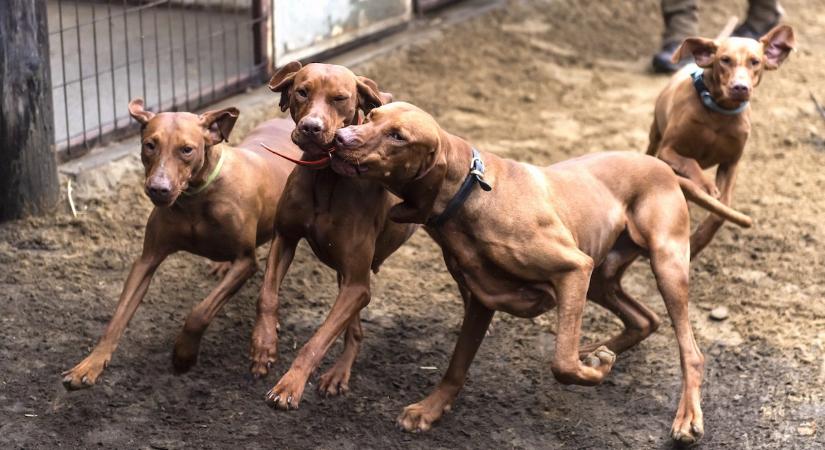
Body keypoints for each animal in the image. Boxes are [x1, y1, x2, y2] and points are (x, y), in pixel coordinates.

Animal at [62, 100, 300, 388]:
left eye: (187, 150)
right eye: (150, 145)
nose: (158, 189)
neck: (195, 198)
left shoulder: (246, 262)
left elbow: (199, 313)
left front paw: (183, 355)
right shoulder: (147, 260)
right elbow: (117, 319)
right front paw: (90, 364)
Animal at [249, 62, 416, 404]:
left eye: (339, 98)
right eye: (302, 91)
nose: (311, 127)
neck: (325, 174)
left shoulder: (356, 284)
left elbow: (317, 340)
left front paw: (291, 384)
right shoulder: (284, 238)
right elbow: (266, 296)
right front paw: (264, 345)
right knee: (355, 330)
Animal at [330, 101, 752, 442]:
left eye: (398, 136)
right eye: (371, 115)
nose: (339, 137)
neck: (470, 192)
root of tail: (665, 167)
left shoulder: (574, 268)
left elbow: (562, 363)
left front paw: (593, 371)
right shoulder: (482, 299)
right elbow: (456, 365)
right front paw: (430, 409)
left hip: (664, 264)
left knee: (689, 350)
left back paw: (685, 417)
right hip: (601, 277)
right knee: (644, 319)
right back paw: (597, 349)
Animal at [648, 24, 796, 256]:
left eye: (755, 62)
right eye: (725, 60)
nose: (740, 87)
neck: (720, 113)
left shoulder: (731, 163)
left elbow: (721, 209)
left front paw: (698, 242)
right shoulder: (668, 150)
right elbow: (690, 162)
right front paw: (706, 186)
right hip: (655, 135)